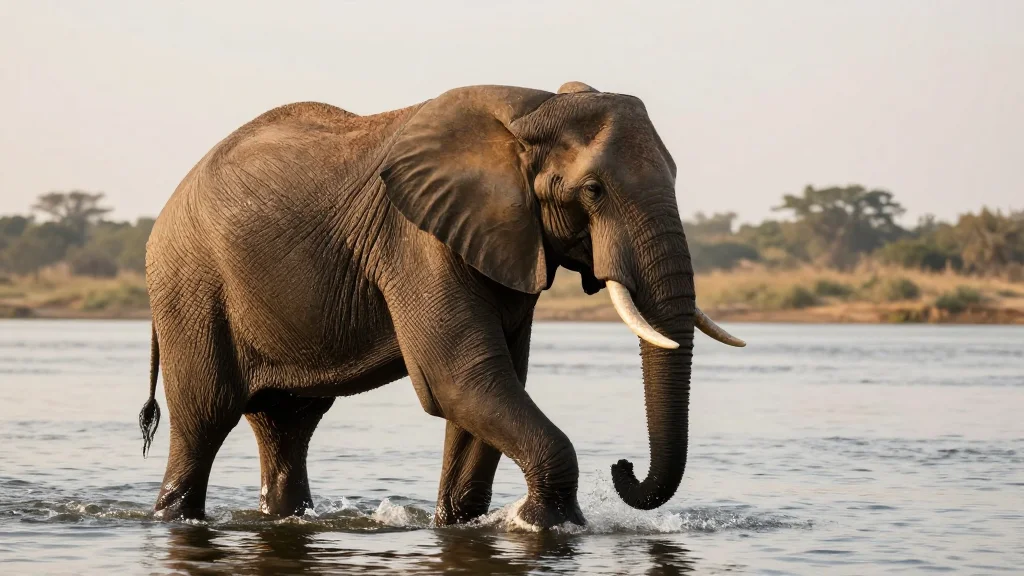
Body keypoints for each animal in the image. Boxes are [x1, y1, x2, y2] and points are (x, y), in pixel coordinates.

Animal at [137, 80, 745, 530]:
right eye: (593, 191)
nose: (623, 467)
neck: (532, 110)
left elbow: (493, 383)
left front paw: (460, 525)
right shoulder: (417, 240)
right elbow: (461, 379)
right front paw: (546, 524)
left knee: (287, 424)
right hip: (191, 288)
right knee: (203, 420)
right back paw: (175, 517)